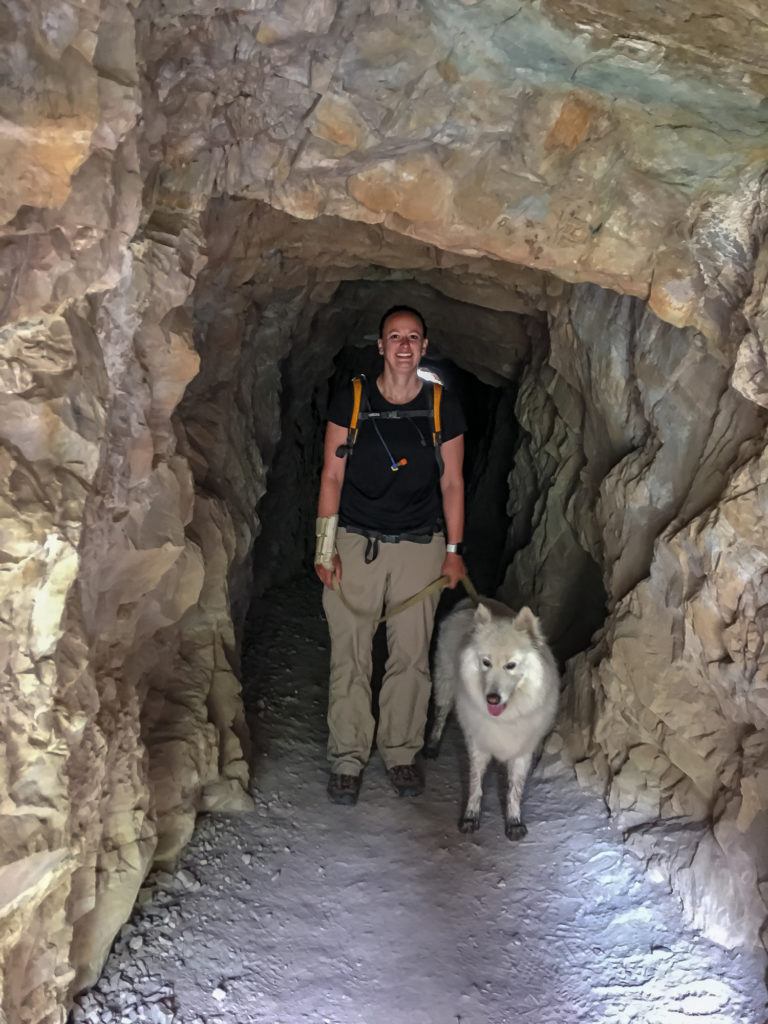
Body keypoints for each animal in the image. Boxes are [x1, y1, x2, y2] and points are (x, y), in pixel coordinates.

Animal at [428, 598, 561, 839]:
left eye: (511, 665)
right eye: (486, 662)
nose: (492, 698)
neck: (505, 719)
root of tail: (468, 602)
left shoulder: (521, 750)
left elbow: (514, 790)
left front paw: (514, 822)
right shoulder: (479, 744)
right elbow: (475, 785)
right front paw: (470, 817)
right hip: (445, 684)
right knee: (440, 715)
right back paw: (432, 746)